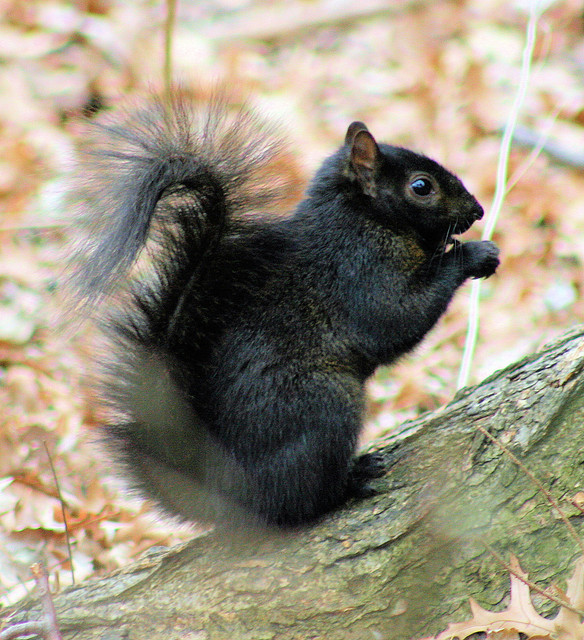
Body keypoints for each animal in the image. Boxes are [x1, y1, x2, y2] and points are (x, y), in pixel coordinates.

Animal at [68, 91, 500, 528]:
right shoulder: (360, 270)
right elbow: (397, 317)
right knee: (295, 504)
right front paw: (473, 254)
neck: (364, 217)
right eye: (421, 186)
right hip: (323, 404)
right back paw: (350, 483)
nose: (478, 210)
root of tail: (226, 491)